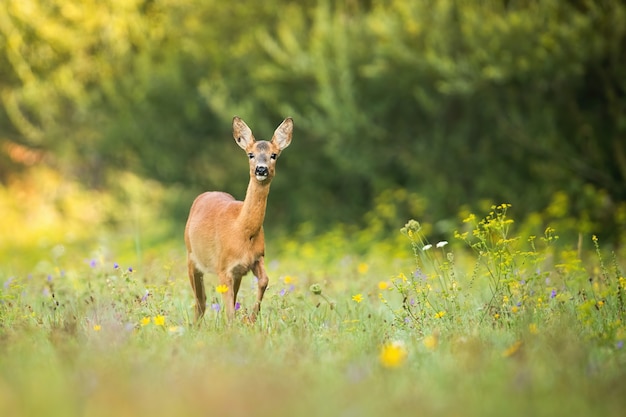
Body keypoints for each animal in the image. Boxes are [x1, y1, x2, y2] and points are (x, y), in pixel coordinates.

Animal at [184, 115, 294, 324]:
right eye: (250, 154)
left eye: (274, 155)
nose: (261, 169)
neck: (242, 230)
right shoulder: (223, 267)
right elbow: (228, 312)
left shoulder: (255, 259)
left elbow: (264, 281)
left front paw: (251, 318)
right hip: (191, 256)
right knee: (200, 300)